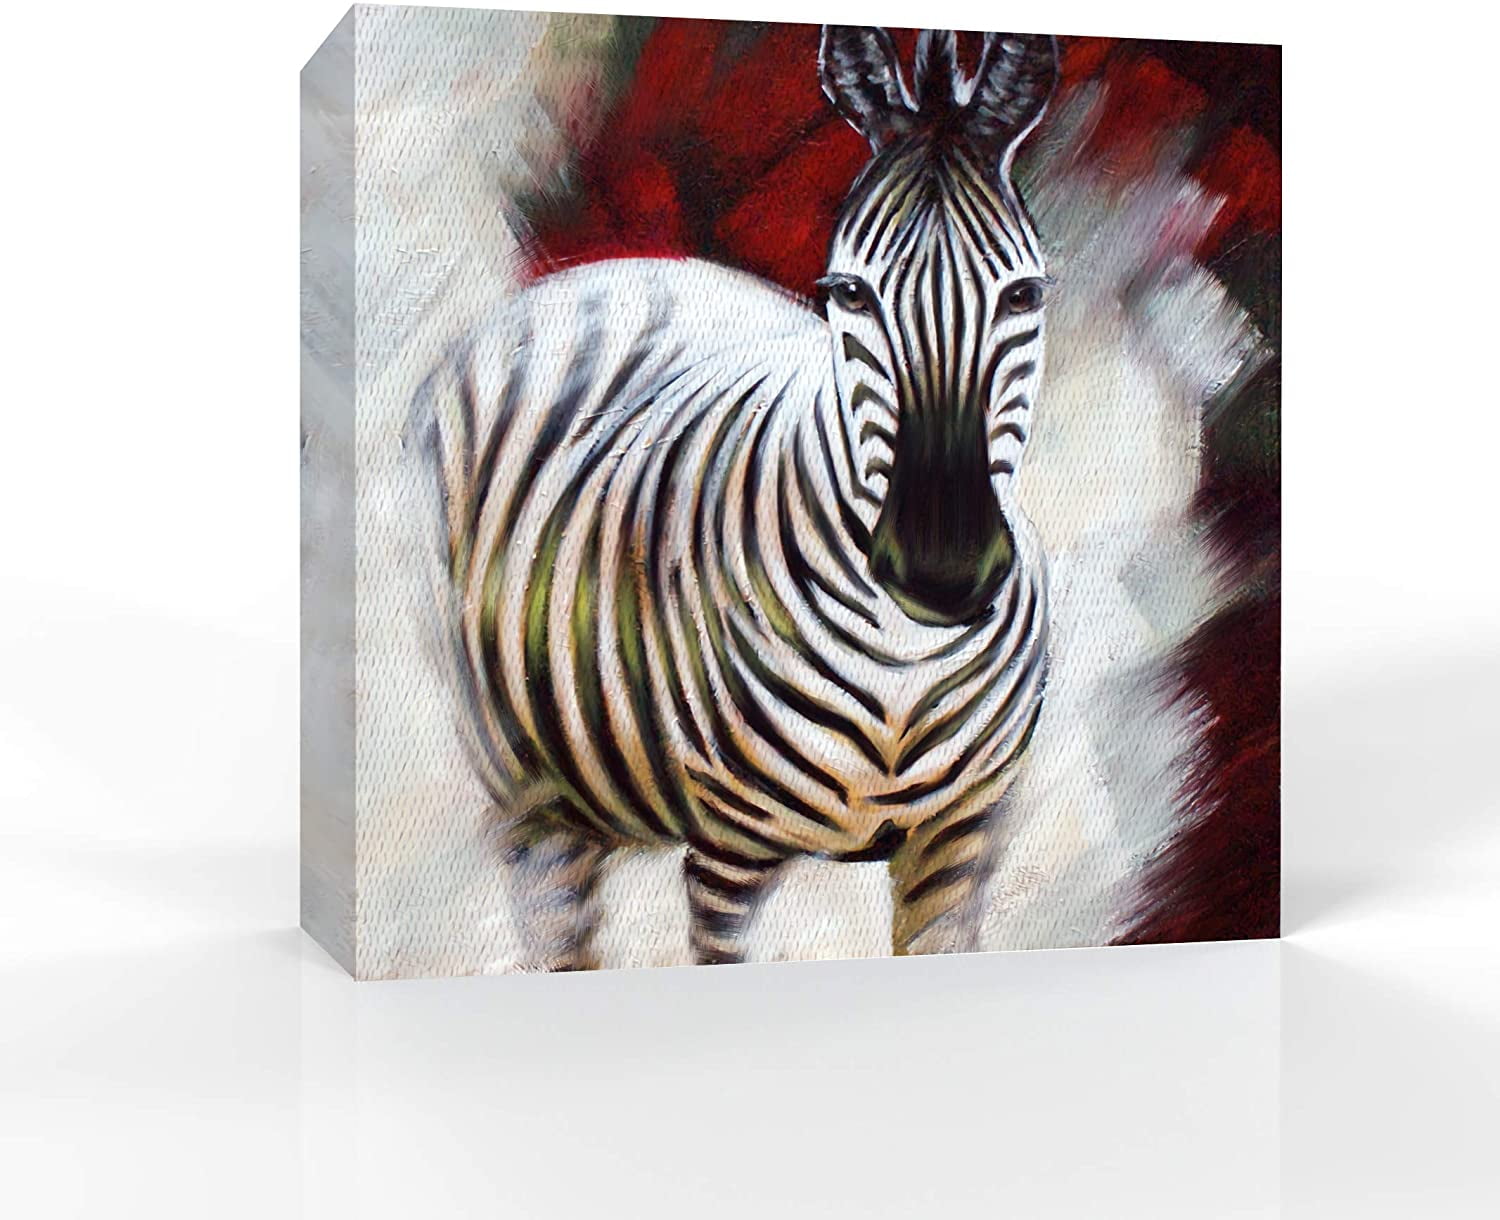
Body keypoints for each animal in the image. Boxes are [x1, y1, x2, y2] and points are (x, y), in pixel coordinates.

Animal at [415, 26, 1058, 968]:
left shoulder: (961, 838)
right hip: (530, 789)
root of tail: (605, 273)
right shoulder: (730, 852)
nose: (942, 572)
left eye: (1025, 294)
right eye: (851, 294)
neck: (906, 655)